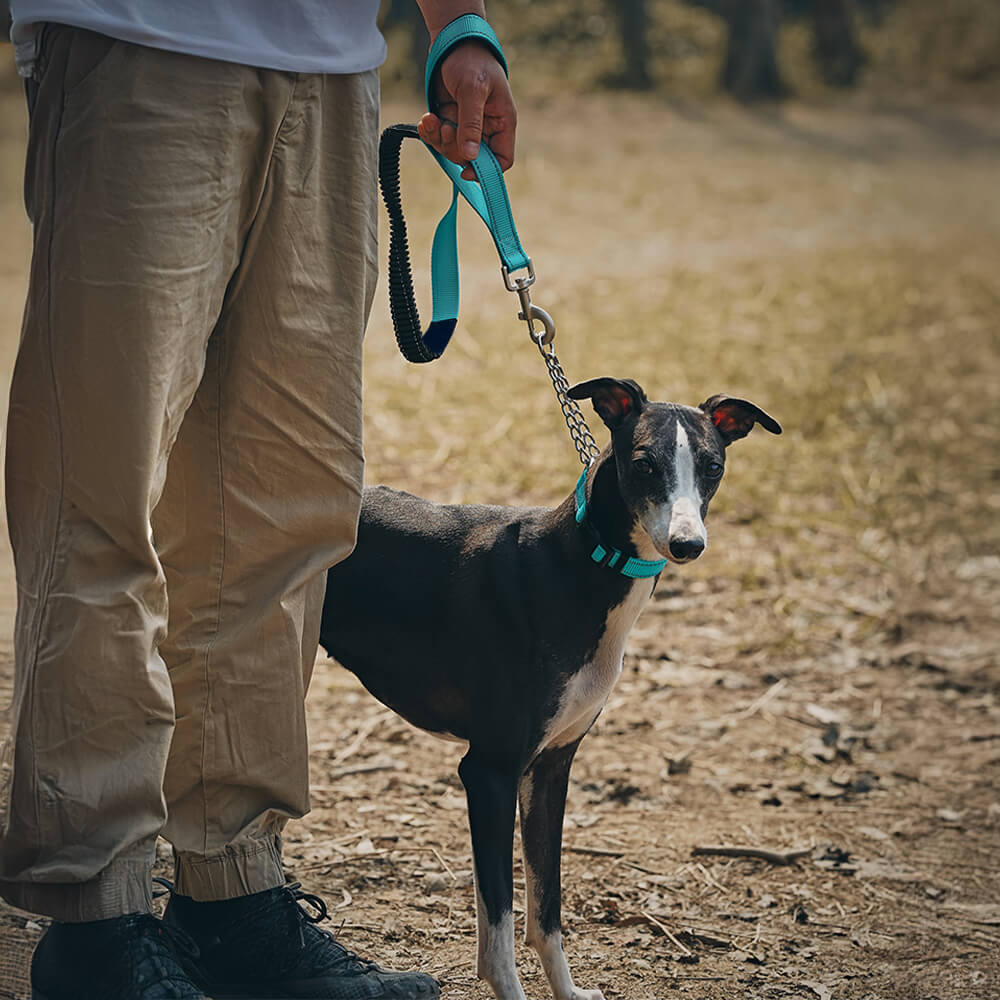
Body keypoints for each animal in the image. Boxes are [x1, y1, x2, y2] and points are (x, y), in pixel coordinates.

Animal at [320, 378, 780, 1000]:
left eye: (712, 466)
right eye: (644, 463)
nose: (687, 544)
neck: (580, 561)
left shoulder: (551, 767)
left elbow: (546, 906)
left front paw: (568, 989)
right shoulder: (488, 771)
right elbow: (499, 927)